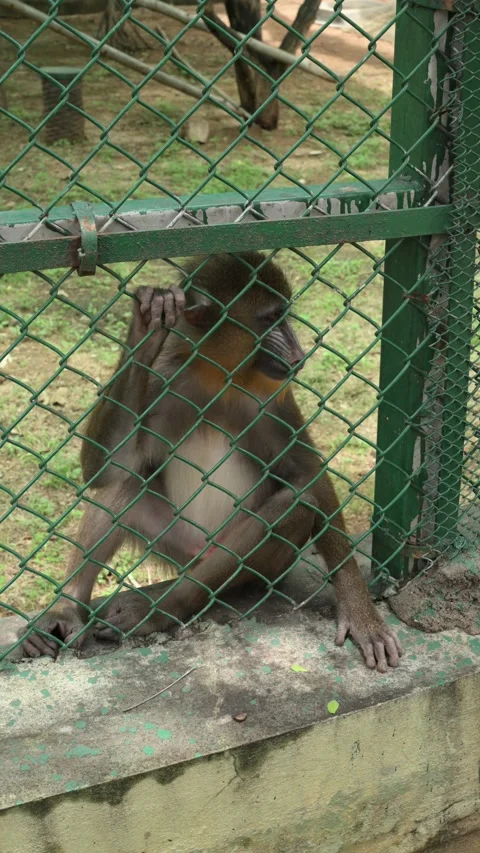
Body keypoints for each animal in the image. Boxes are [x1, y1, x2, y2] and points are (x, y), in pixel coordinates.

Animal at [21, 252, 402, 672]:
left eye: (283, 315)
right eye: (271, 318)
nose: (298, 351)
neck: (214, 373)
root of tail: (197, 554)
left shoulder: (273, 396)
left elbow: (307, 475)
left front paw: (360, 611)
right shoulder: (161, 380)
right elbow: (105, 470)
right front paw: (147, 328)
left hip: (251, 563)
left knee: (294, 505)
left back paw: (163, 607)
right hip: (172, 539)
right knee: (122, 486)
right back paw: (67, 606)